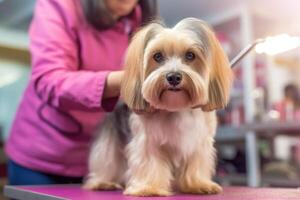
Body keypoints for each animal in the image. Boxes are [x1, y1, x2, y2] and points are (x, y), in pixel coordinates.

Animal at [83, 18, 233, 196]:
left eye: (190, 55)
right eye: (158, 56)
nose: (174, 77)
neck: (176, 108)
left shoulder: (199, 142)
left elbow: (195, 163)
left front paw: (198, 184)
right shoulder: (148, 142)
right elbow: (150, 163)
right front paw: (149, 188)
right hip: (109, 142)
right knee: (107, 161)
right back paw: (103, 182)